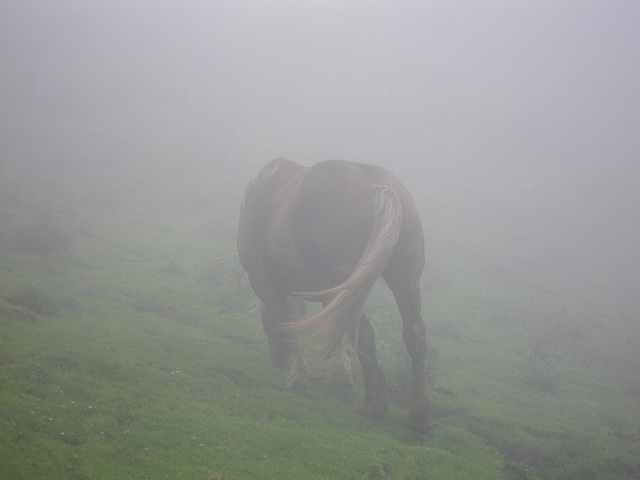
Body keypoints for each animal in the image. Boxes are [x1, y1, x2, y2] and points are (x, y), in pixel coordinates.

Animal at [238, 157, 432, 432]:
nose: (276, 359)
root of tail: (379, 188)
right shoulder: (329, 294)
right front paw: (340, 374)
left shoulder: (264, 282)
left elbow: (286, 323)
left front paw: (297, 380)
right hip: (406, 281)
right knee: (415, 336)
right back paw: (419, 414)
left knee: (365, 334)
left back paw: (374, 404)